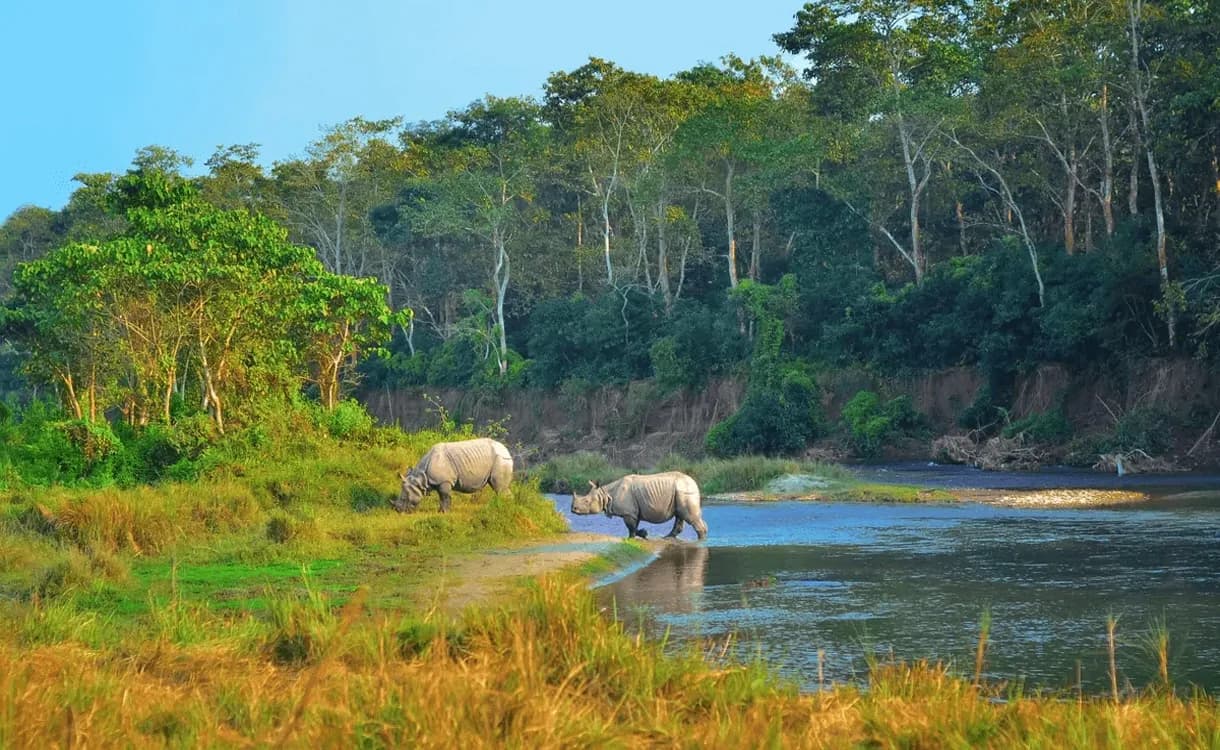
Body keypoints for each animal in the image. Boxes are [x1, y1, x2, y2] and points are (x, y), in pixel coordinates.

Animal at [570, 471, 708, 540]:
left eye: (586, 501)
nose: (573, 509)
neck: (606, 493)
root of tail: (694, 482)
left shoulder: (628, 512)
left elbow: (631, 527)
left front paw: (642, 534)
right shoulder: (633, 512)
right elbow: (633, 527)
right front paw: (637, 536)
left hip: (684, 490)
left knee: (689, 517)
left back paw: (700, 541)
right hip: (680, 491)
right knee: (680, 515)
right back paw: (667, 538)